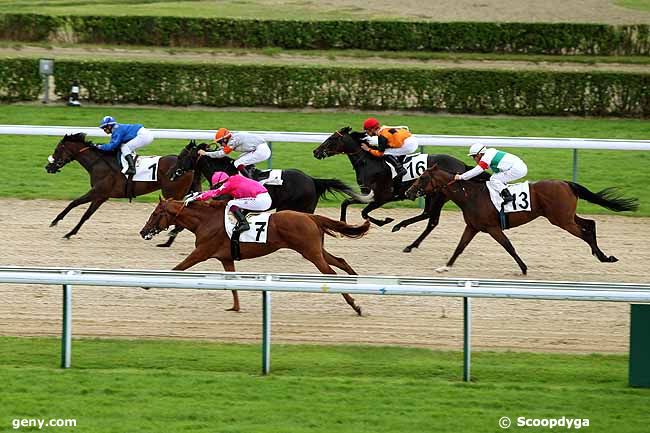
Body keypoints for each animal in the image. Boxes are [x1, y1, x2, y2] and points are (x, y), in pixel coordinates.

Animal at [45, 132, 197, 240]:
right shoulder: (101, 196)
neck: (99, 163)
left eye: (57, 149)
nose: (48, 167)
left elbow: (76, 204)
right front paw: (68, 230)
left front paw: (58, 224)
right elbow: (84, 213)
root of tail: (188, 166)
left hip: (172, 193)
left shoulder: (98, 192)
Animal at [139, 197, 368, 312]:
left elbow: (178, 268)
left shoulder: (201, 252)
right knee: (341, 261)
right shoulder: (226, 258)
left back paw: (355, 305)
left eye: (156, 213)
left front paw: (148, 283)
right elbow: (232, 283)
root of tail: (310, 216)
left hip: (311, 252)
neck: (205, 220)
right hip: (316, 250)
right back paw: (356, 281)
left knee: (332, 273)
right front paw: (235, 307)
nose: (143, 232)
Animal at [310, 126, 486, 251]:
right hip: (434, 194)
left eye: (332, 138)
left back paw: (402, 231)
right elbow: (346, 203)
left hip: (438, 195)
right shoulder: (367, 194)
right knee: (430, 217)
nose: (315, 151)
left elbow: (364, 213)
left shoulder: (381, 197)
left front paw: (385, 221)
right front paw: (343, 228)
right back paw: (409, 240)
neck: (369, 162)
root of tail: (462, 165)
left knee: (430, 218)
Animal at [408, 164, 636, 276]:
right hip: (567, 216)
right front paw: (445, 267)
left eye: (423, 178)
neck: (470, 196)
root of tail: (566, 183)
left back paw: (603, 257)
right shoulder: (473, 226)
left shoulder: (492, 227)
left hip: (562, 220)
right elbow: (460, 247)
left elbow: (509, 246)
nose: (409, 192)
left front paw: (524, 269)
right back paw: (603, 256)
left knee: (586, 232)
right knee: (590, 224)